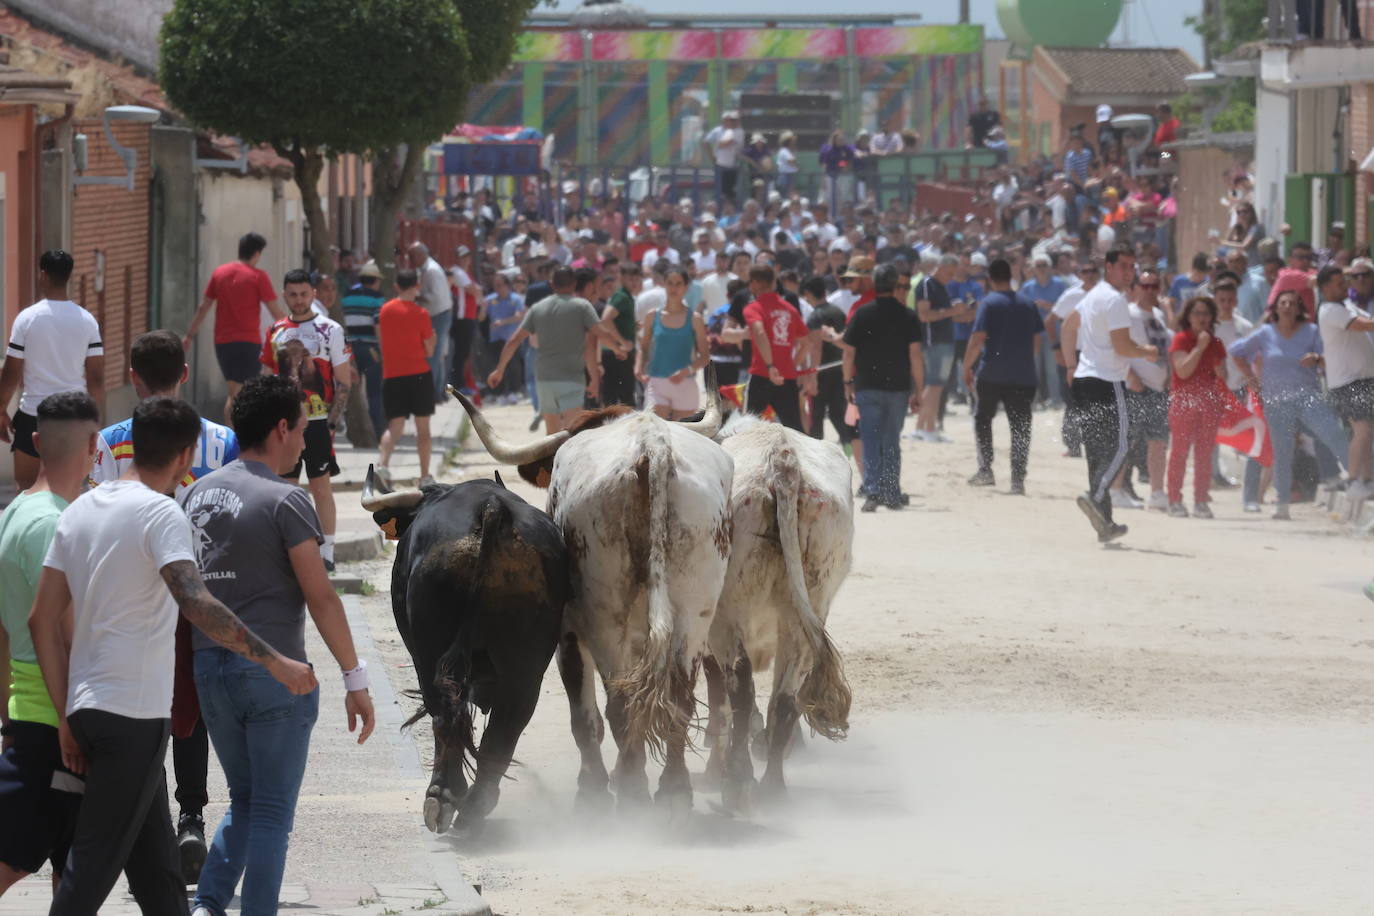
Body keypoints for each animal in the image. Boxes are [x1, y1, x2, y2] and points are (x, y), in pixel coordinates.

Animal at [365, 469, 568, 834]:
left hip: (430, 656)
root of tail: (490, 508)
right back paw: (475, 804)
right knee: (506, 725)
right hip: (526, 668)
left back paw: (444, 796)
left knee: (446, 716)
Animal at [453, 390, 736, 813]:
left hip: (604, 616)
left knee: (618, 705)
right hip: (694, 610)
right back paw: (672, 792)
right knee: (676, 699)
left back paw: (632, 793)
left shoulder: (567, 634)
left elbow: (585, 718)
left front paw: (594, 786)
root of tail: (651, 447)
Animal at [703, 411, 851, 813]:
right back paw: (772, 785)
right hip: (808, 606)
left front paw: (714, 768)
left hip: (728, 613)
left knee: (739, 683)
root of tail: (782, 462)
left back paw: (737, 781)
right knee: (786, 694)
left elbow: (720, 697)